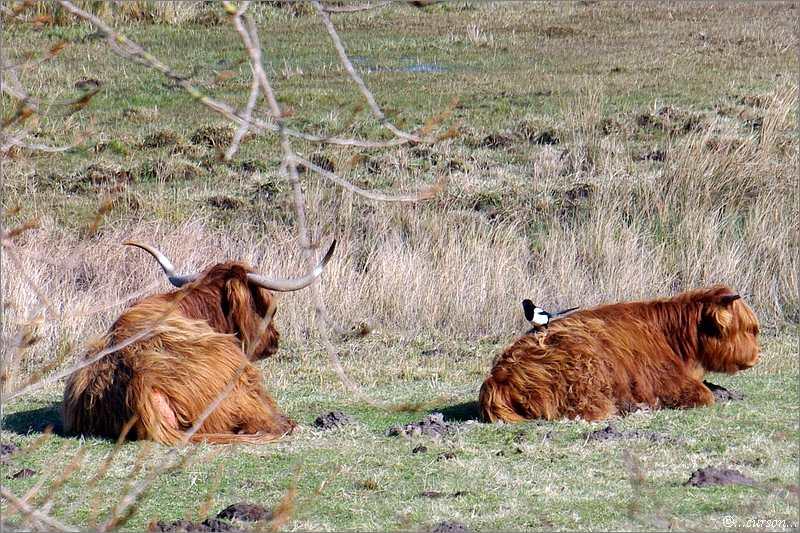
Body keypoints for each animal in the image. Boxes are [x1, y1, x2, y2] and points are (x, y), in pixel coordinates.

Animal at [480, 285, 760, 422]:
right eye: (750, 329)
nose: (758, 355)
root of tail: (498, 377)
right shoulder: (667, 381)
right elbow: (703, 395)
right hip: (585, 378)